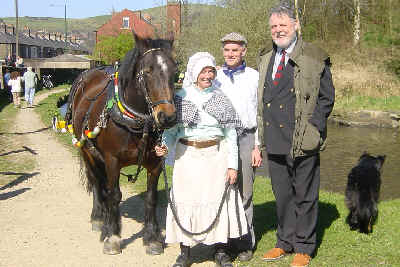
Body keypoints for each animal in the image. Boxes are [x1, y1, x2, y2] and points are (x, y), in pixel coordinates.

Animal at [64, 33, 177, 255]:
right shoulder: (112, 160)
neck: (137, 122)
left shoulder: (155, 162)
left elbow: (151, 198)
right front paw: (112, 236)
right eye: (147, 71)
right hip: (87, 152)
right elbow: (114, 194)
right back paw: (99, 218)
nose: (167, 117)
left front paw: (152, 238)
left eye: (174, 71)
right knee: (97, 182)